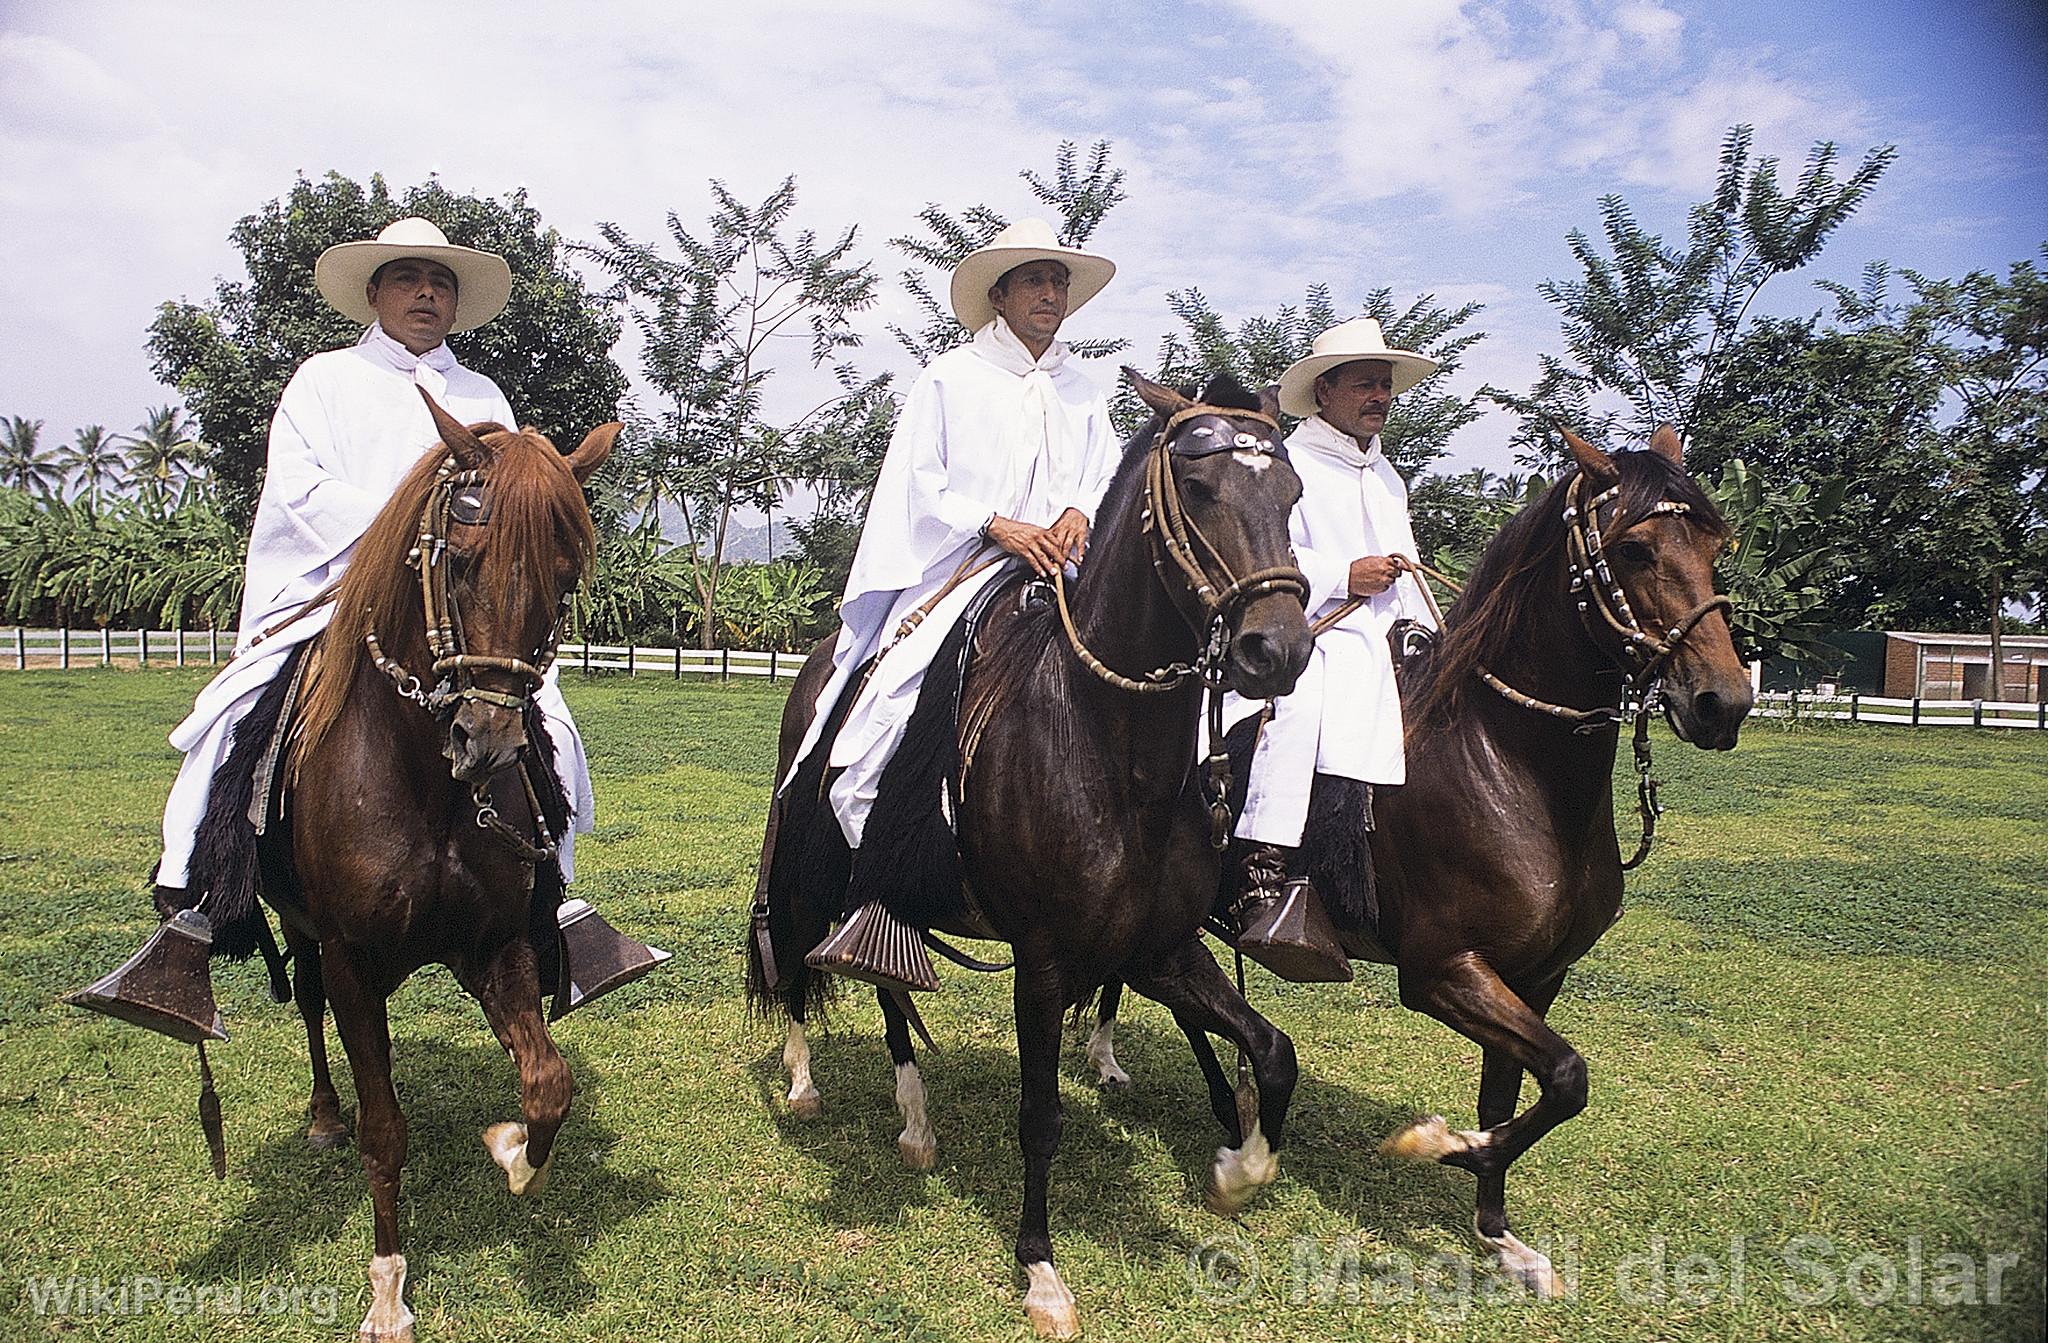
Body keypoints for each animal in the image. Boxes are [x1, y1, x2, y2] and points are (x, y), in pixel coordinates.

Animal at [260, 401, 610, 1342]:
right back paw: (322, 1113)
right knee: (308, 1008)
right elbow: (385, 1127)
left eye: (565, 579)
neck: (423, 787)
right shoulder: (351, 958)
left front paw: (514, 1152)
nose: (484, 741)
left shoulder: (495, 944)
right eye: (458, 558)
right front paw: (387, 1286)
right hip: (304, 934)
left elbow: (548, 1082)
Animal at [753, 372, 1310, 1334]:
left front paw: (1236, 1174)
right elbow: (1041, 1114)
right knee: (794, 960)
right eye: (1199, 488)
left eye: (1292, 493)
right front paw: (1041, 1270)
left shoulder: (1160, 950)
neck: (1111, 752)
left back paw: (916, 1123)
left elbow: (1271, 1051)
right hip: (811, 867)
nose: (1278, 649)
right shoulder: (1045, 961)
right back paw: (804, 1084)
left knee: (887, 982)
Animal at [1097, 425, 1753, 1293]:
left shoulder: (1536, 977)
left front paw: (1499, 1234)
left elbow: (1518, 1092)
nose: (1723, 702)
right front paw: (1440, 1146)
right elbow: (1567, 1077)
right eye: (1638, 548)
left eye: (1716, 544)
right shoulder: (1444, 972)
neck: (1506, 763)